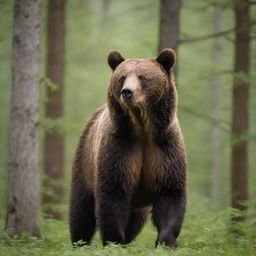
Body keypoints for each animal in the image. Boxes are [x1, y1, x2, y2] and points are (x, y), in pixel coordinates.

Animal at [69, 48, 186, 248]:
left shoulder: (164, 147)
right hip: (84, 163)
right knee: (81, 211)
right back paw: (80, 242)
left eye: (143, 77)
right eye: (122, 77)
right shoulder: (120, 147)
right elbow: (113, 195)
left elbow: (170, 193)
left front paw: (166, 242)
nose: (127, 92)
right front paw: (114, 242)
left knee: (134, 222)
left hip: (138, 203)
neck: (142, 128)